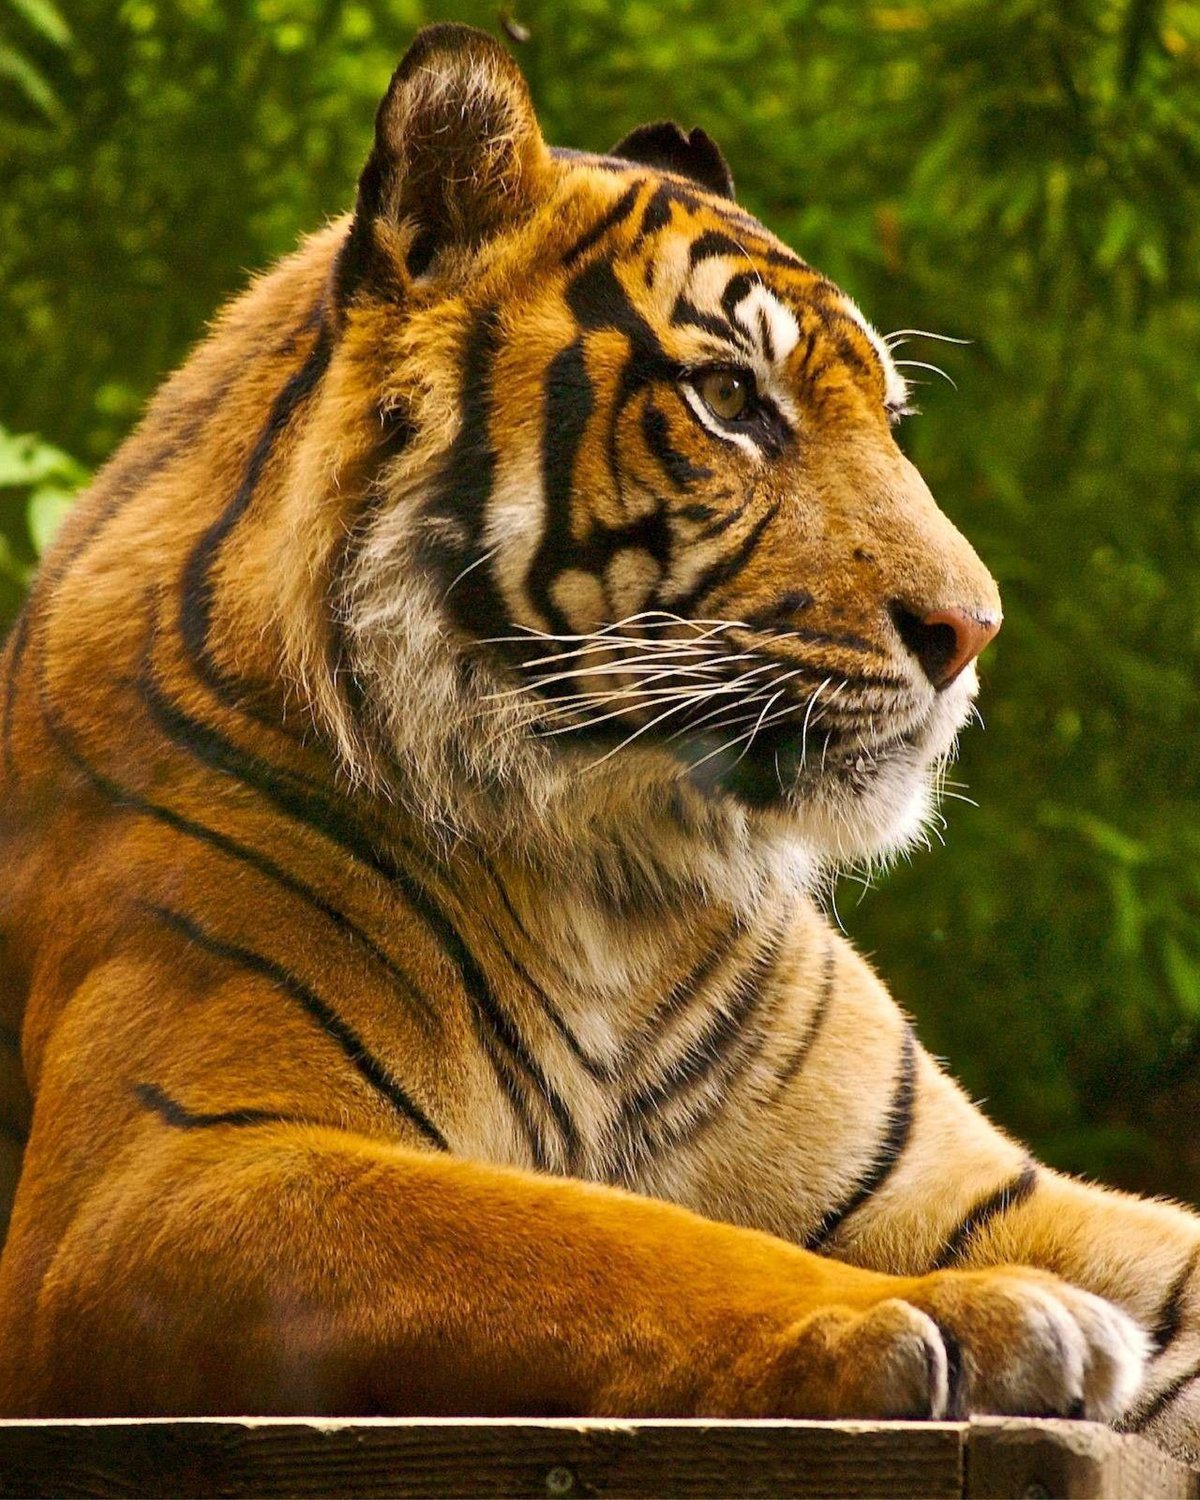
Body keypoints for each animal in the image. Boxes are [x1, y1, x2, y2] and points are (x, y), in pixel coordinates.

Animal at [0, 20, 1197, 1457]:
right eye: (732, 398)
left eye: (891, 424)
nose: (971, 631)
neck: (611, 883)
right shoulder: (155, 1175)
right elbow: (595, 1237)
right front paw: (954, 1317)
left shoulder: (970, 1182)